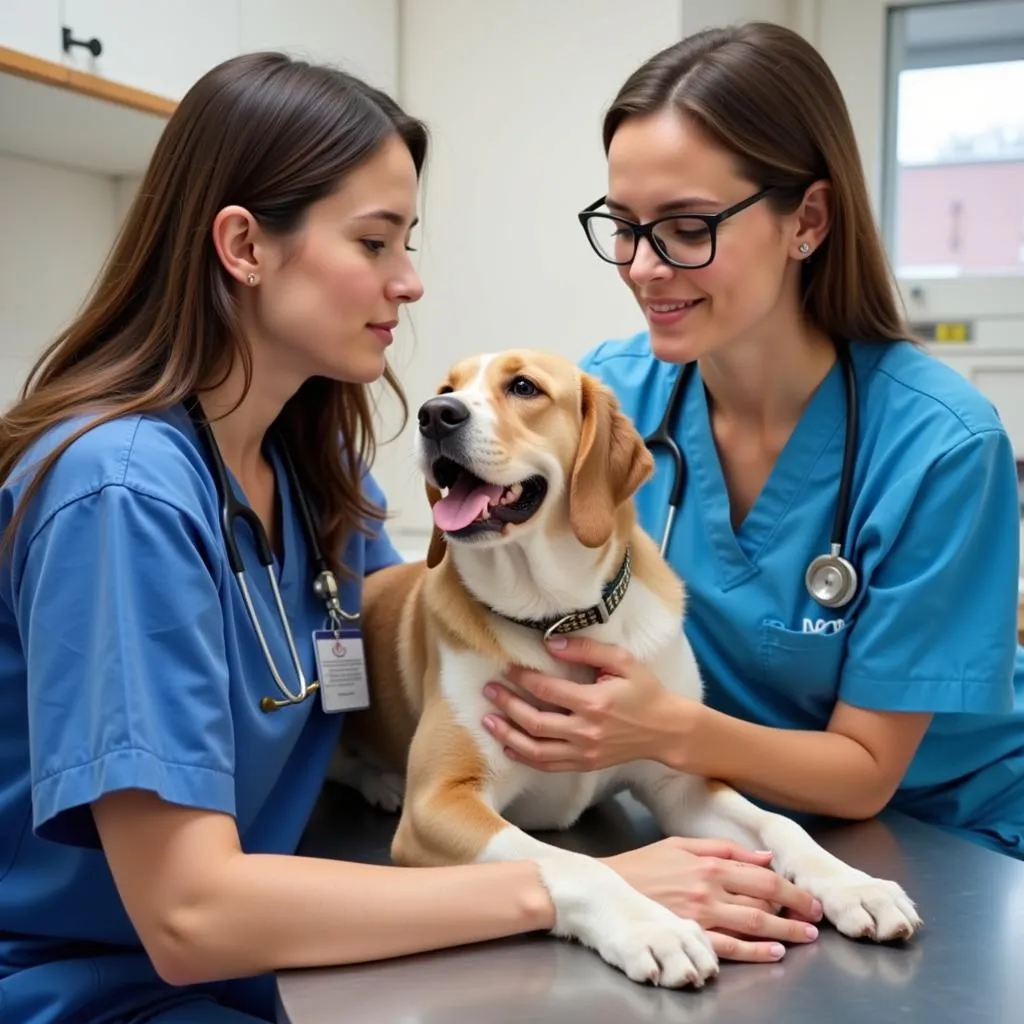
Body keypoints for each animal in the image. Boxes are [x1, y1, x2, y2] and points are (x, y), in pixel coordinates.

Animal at [333, 348, 921, 987]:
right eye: (447, 387)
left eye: (523, 387)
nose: (435, 414)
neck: (558, 619)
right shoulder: (439, 804)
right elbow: (571, 864)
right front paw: (654, 929)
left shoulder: (679, 784)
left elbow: (780, 825)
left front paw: (855, 886)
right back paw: (381, 780)